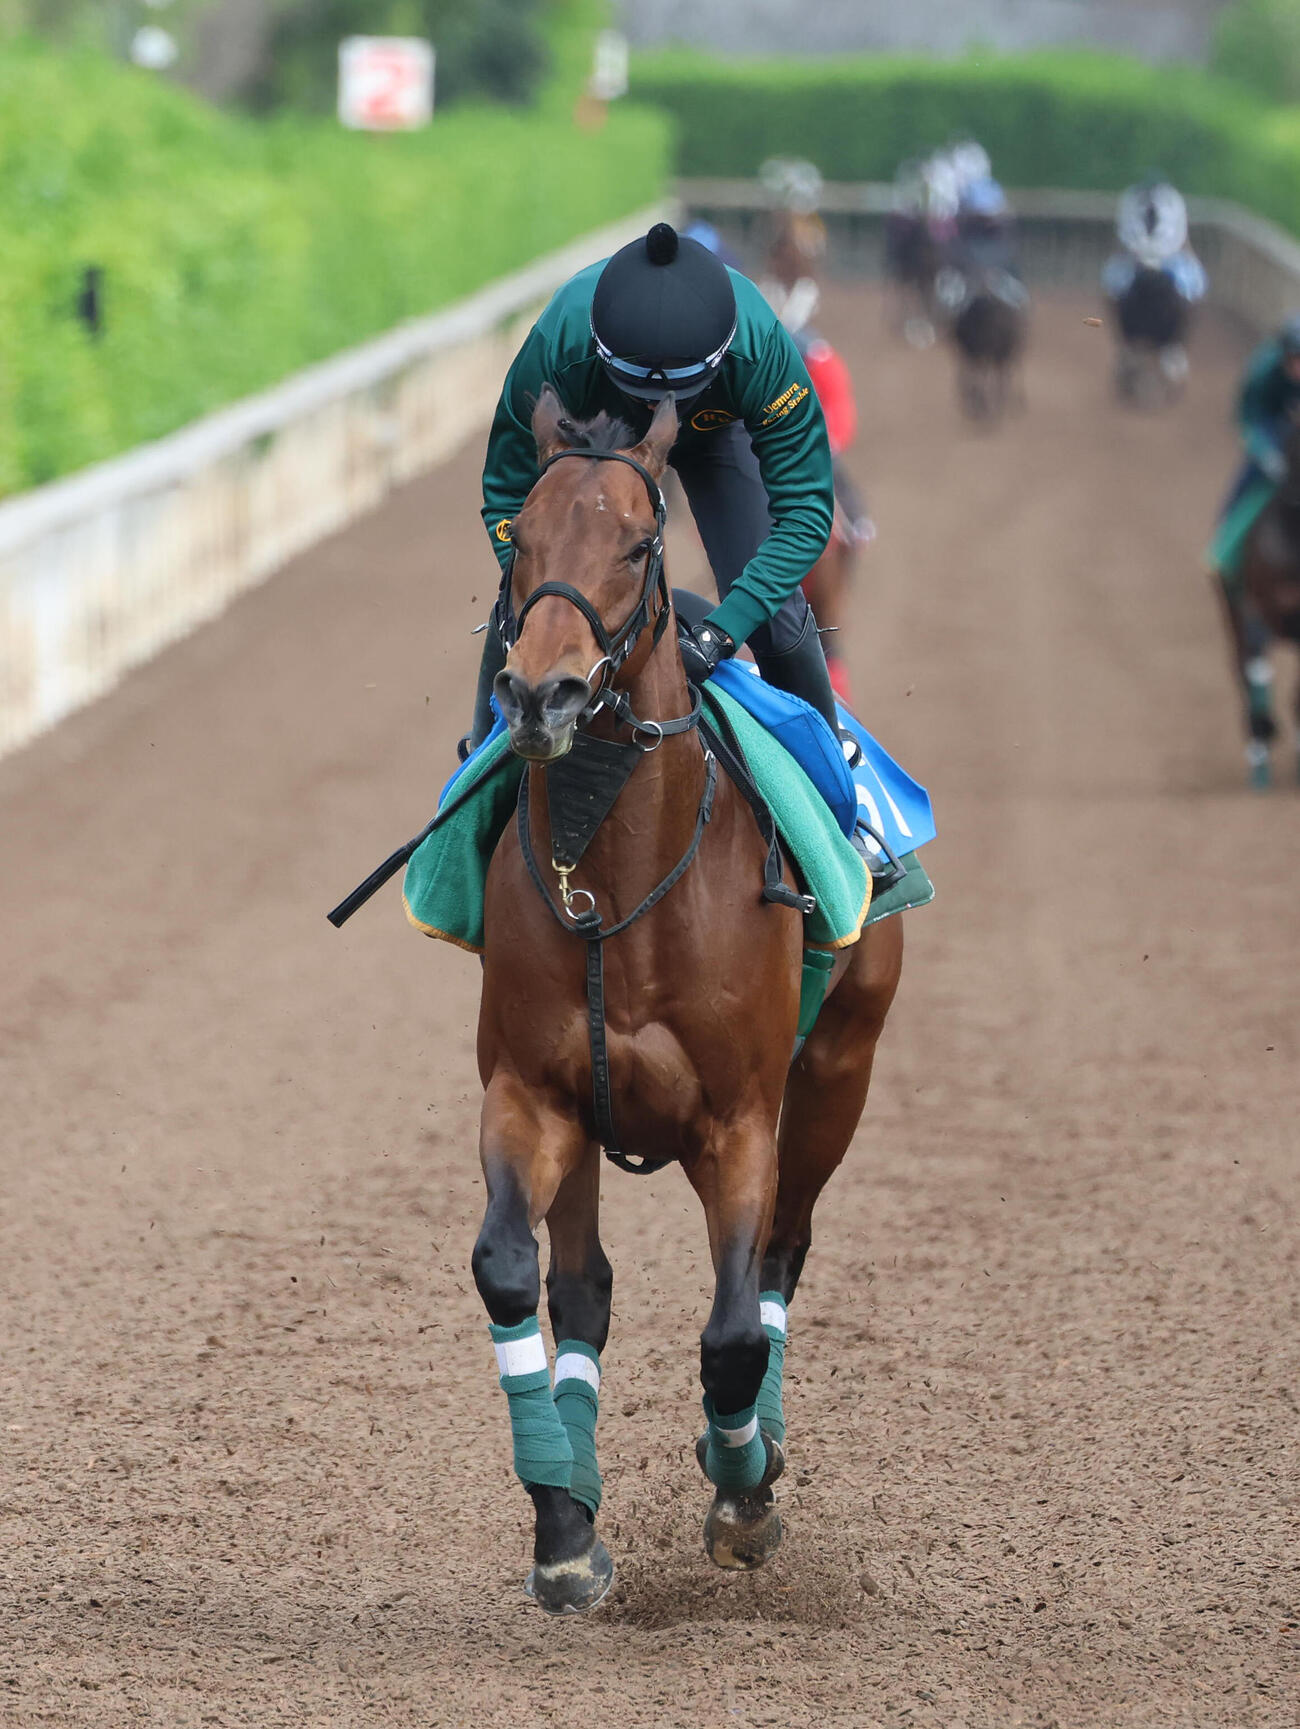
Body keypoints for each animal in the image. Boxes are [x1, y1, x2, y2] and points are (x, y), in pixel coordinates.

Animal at [471, 386, 905, 1613]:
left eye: (636, 543)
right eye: (521, 538)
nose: (542, 692)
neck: (618, 880)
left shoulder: (740, 1119)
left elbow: (732, 1331)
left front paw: (744, 1488)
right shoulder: (532, 1090)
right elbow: (513, 1269)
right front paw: (561, 1524)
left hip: (840, 1073)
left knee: (781, 1260)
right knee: (581, 1285)